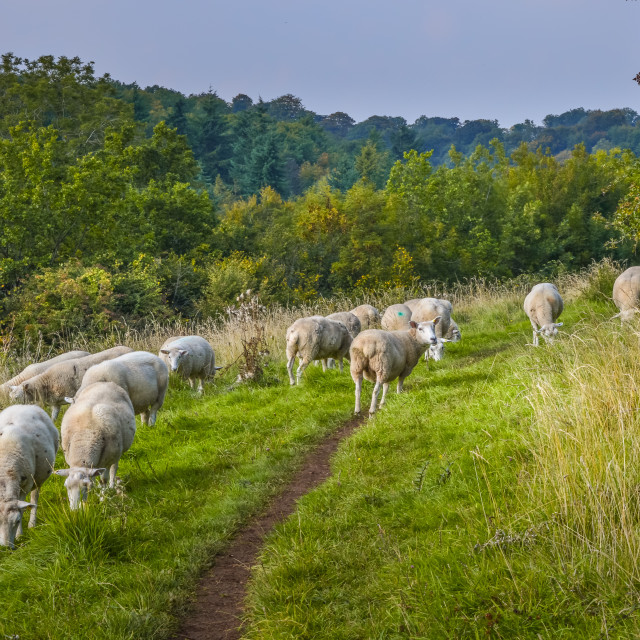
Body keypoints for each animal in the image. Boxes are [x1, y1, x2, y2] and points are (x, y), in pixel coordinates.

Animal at [0, 408, 58, 548]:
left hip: (37, 478)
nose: (6, 548)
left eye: (17, 521)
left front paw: (19, 535)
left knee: (34, 498)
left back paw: (32, 524)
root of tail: (22, 406)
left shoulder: (25, 486)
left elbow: (22, 509)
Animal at [54, 380, 138, 510]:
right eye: (66, 486)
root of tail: (105, 382)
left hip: (117, 451)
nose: (74, 511)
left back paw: (111, 486)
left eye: (85, 485)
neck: (85, 435)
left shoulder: (107, 460)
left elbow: (103, 479)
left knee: (114, 467)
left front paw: (103, 499)